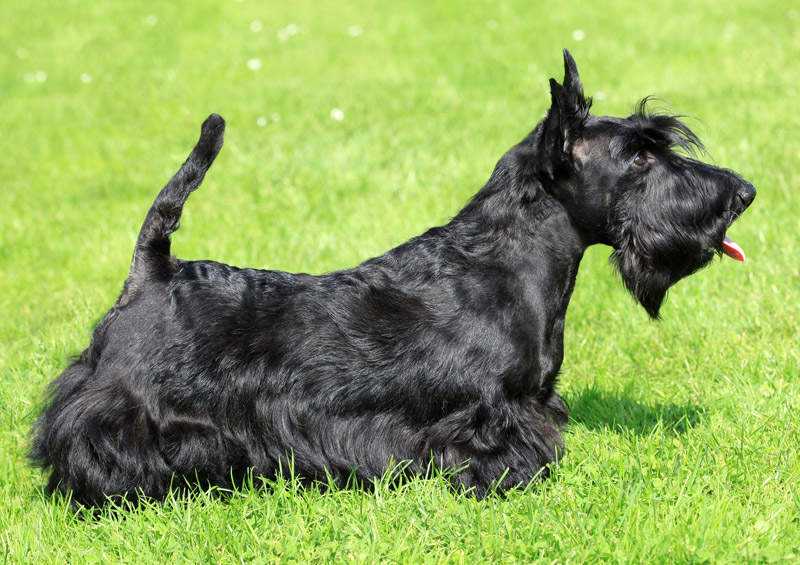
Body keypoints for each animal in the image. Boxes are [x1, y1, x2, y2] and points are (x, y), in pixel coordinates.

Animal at [32, 50, 756, 504]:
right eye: (638, 156)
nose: (742, 193)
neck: (504, 264)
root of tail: (153, 269)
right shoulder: (487, 411)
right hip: (127, 406)